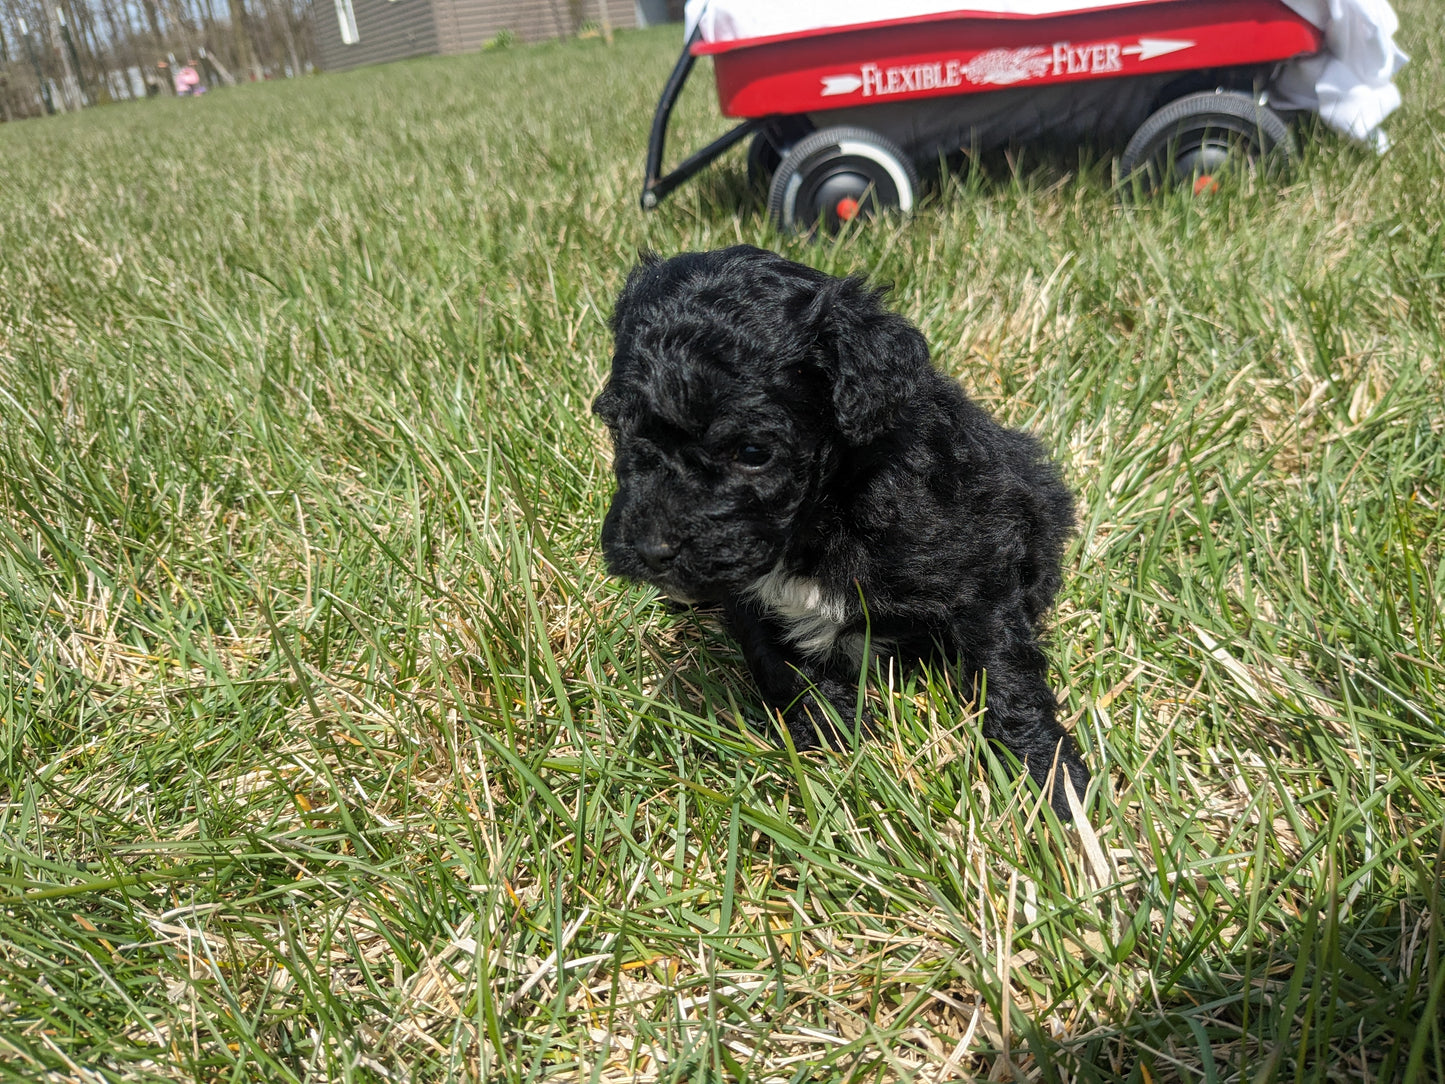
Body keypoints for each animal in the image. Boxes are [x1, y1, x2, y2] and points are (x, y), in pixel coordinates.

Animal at [586, 245, 1086, 820]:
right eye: (622, 432)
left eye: (753, 452)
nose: (650, 550)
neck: (824, 512)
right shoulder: (747, 595)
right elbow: (778, 662)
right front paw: (833, 736)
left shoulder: (980, 564)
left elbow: (1005, 672)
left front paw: (1049, 780)